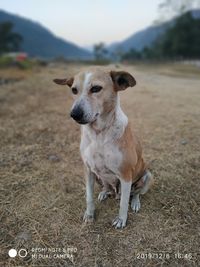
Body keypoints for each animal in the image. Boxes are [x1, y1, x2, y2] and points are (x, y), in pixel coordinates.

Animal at [53, 67, 153, 230]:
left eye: (96, 88)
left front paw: (121, 220)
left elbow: (123, 203)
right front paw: (89, 214)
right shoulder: (87, 169)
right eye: (74, 90)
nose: (74, 114)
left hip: (148, 176)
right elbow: (89, 196)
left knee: (136, 193)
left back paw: (135, 202)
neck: (99, 134)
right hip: (99, 176)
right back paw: (104, 193)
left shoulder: (125, 175)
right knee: (107, 186)